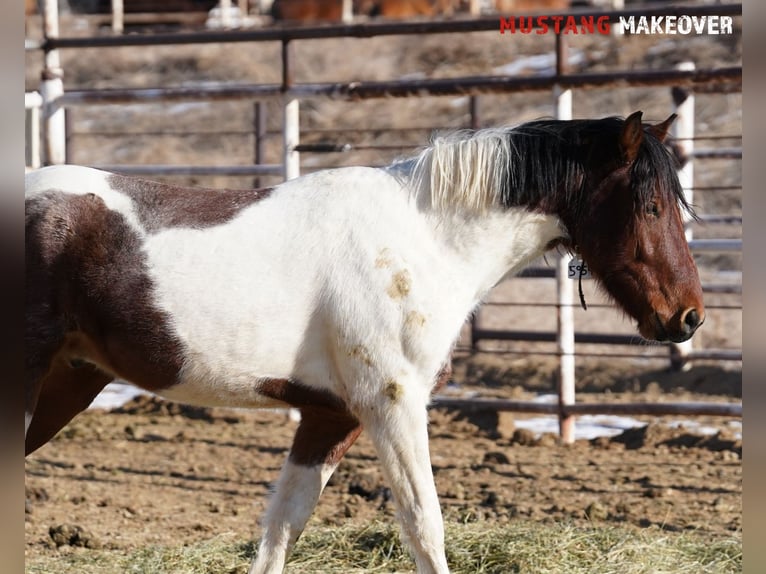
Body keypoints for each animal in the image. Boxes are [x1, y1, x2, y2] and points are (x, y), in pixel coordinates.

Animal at [25, 111, 708, 572]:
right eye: (650, 207)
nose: (689, 317)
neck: (425, 239)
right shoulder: (393, 408)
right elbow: (424, 524)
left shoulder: (331, 418)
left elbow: (281, 530)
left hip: (68, 385)